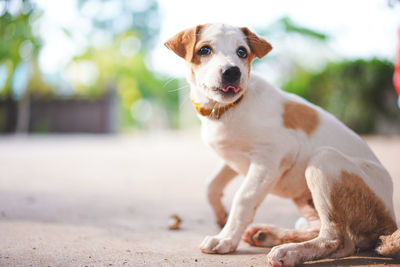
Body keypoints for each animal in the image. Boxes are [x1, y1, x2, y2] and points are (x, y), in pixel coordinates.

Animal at [164, 24, 398, 266]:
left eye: (242, 52)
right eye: (204, 50)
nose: (232, 72)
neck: (227, 110)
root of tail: (391, 222)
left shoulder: (270, 156)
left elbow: (244, 198)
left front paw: (226, 238)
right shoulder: (233, 158)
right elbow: (211, 185)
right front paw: (221, 216)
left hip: (324, 159)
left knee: (338, 240)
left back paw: (290, 251)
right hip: (306, 199)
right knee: (319, 229)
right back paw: (268, 235)